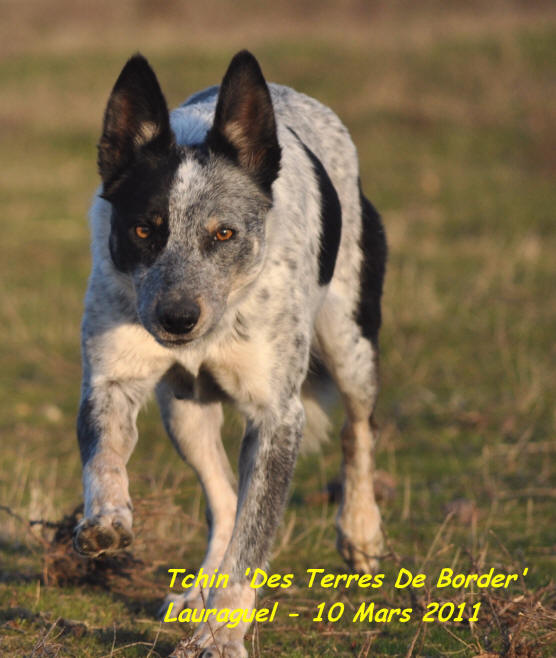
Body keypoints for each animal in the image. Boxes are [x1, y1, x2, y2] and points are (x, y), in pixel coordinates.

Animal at [73, 48, 386, 652]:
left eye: (224, 234)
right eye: (144, 230)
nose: (176, 318)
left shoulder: (277, 417)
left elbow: (252, 542)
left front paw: (221, 636)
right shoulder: (111, 378)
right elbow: (105, 457)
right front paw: (107, 521)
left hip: (349, 343)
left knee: (357, 428)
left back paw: (360, 531)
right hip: (182, 411)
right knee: (221, 498)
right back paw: (199, 589)